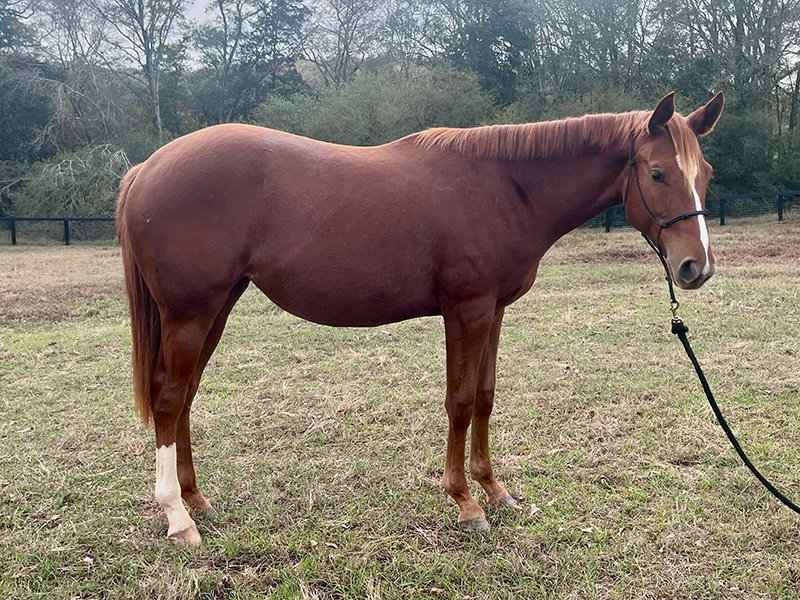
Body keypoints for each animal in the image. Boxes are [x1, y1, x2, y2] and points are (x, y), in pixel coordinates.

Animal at [119, 90, 724, 544]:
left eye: (706, 173)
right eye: (657, 173)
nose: (695, 267)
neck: (505, 187)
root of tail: (147, 168)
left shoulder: (493, 312)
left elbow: (484, 397)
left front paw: (495, 492)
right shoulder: (466, 311)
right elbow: (459, 401)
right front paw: (466, 503)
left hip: (215, 308)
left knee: (184, 397)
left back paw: (197, 501)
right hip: (191, 313)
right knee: (169, 399)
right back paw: (177, 517)